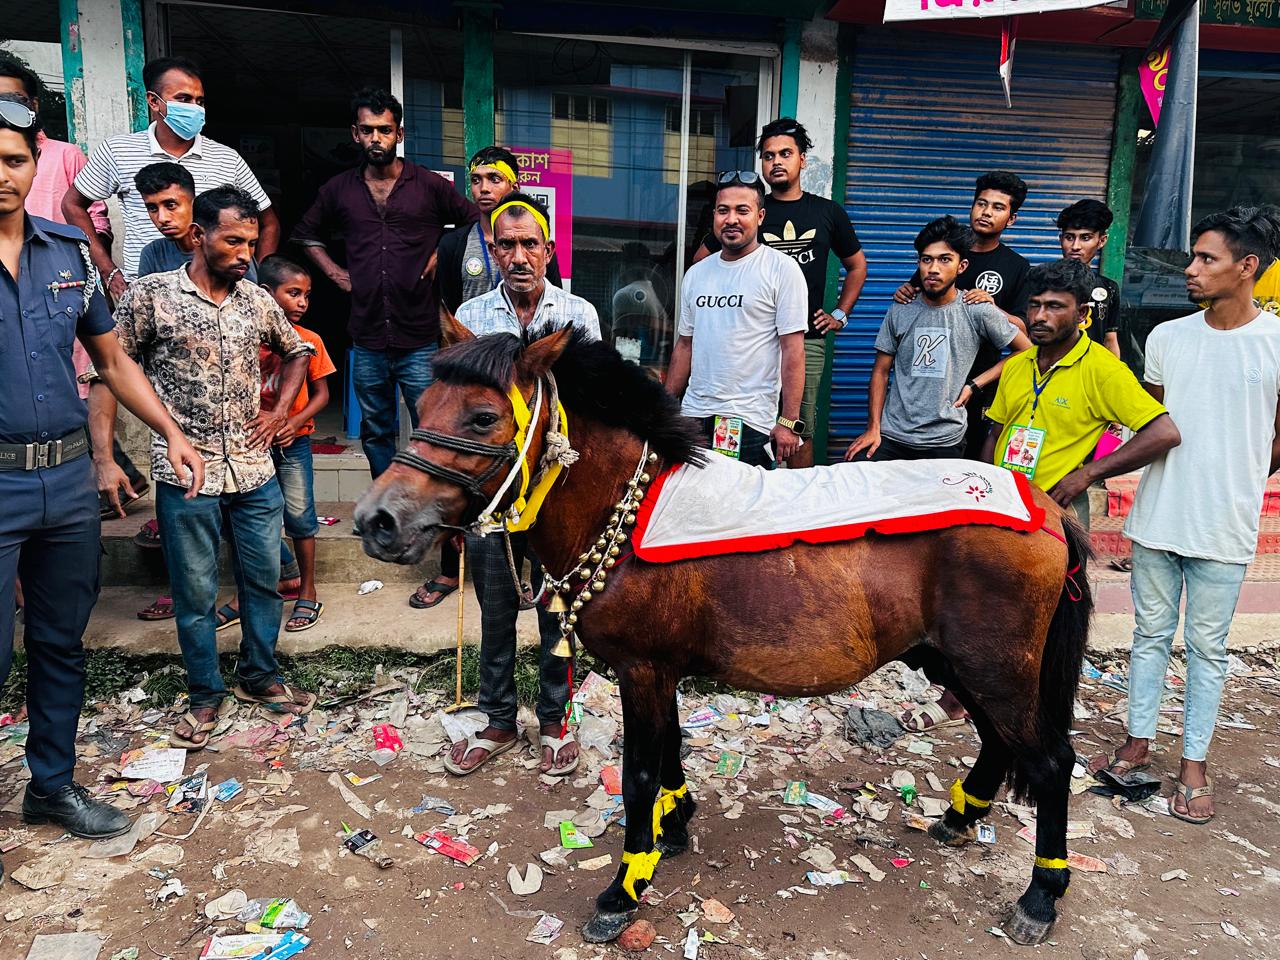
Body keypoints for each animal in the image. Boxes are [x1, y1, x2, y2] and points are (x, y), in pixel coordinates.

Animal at [355, 321, 1095, 947]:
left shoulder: (643, 670)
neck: (628, 511)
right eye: (424, 406)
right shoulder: (658, 671)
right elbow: (671, 752)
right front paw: (675, 826)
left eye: (483, 417)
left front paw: (624, 887)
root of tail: (1046, 506)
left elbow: (641, 771)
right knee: (1000, 742)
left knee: (1051, 761)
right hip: (955, 661)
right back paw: (961, 816)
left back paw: (1040, 895)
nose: (376, 520)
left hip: (995, 666)